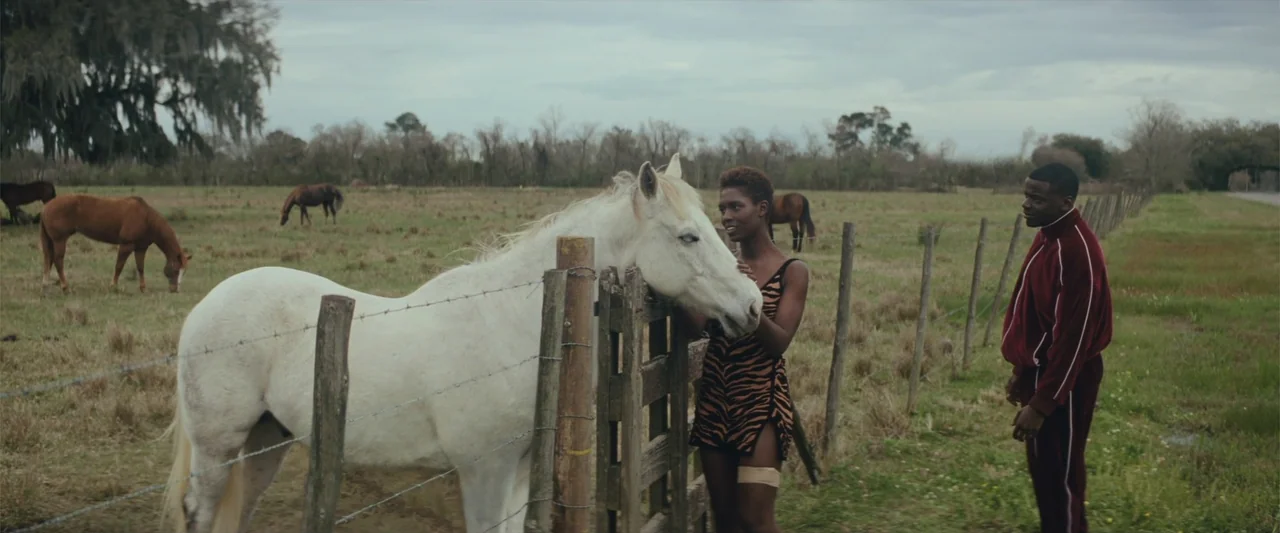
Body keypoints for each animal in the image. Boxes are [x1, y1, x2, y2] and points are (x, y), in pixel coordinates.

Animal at [39, 194, 192, 293]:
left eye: (184, 272)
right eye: (176, 270)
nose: (175, 290)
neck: (146, 218)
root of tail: (47, 207)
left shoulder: (140, 248)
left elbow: (140, 267)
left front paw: (143, 288)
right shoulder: (126, 245)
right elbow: (119, 266)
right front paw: (113, 286)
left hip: (51, 241)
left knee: (48, 259)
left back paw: (45, 285)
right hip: (59, 240)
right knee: (58, 261)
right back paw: (65, 287)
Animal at [159, 153, 764, 533]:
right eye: (688, 236)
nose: (753, 305)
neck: (512, 323)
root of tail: (205, 308)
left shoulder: (516, 473)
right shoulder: (484, 472)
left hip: (267, 441)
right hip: (218, 449)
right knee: (200, 512)